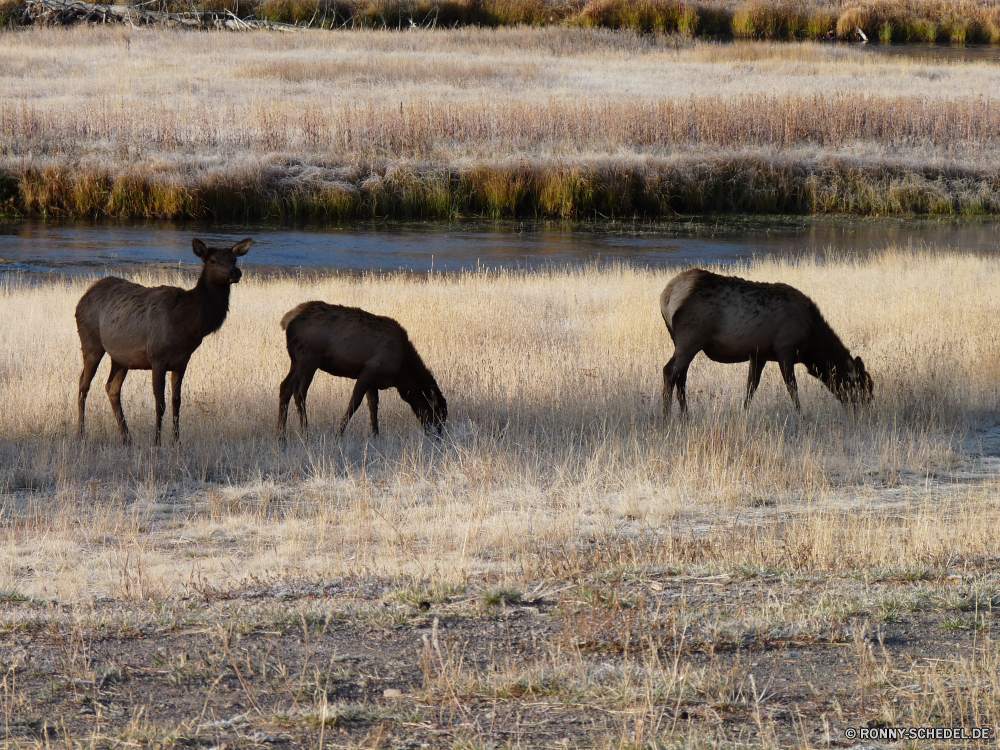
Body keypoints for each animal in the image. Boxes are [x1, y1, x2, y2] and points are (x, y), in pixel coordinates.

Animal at [75, 238, 254, 444]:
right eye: (213, 260)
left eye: (234, 259)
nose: (235, 272)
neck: (187, 326)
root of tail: (83, 297)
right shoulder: (157, 358)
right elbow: (160, 404)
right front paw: (157, 442)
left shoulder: (181, 362)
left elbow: (177, 402)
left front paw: (177, 441)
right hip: (90, 342)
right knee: (83, 384)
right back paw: (81, 433)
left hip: (120, 358)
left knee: (111, 388)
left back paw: (127, 438)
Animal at [274, 302, 446, 440]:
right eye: (438, 413)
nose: (439, 436)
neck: (402, 375)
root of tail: (287, 320)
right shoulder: (369, 371)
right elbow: (354, 403)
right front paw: (338, 434)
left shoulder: (374, 381)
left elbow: (373, 407)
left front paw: (375, 435)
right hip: (309, 358)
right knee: (299, 392)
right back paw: (306, 434)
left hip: (296, 361)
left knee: (285, 387)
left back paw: (281, 436)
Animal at [660, 268, 872, 418]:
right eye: (860, 388)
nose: (866, 414)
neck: (811, 344)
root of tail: (666, 296)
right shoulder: (785, 348)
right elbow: (792, 388)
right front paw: (801, 416)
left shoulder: (758, 354)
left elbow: (750, 388)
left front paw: (743, 414)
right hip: (690, 338)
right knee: (669, 371)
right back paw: (667, 417)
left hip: (681, 341)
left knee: (681, 377)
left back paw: (685, 416)